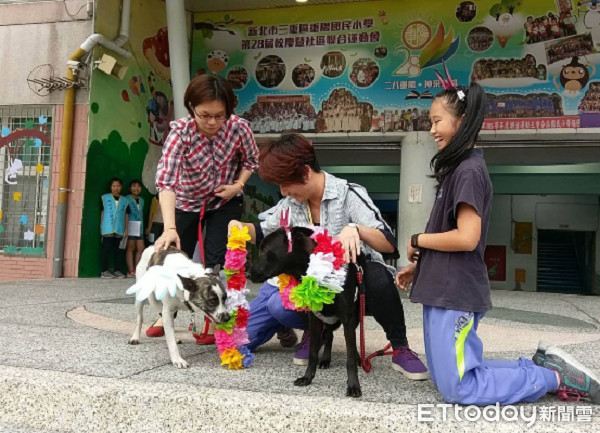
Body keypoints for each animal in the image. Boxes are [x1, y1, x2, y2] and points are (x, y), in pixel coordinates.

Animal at [248, 224, 366, 396]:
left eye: (265, 250)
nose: (247, 273)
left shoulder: (347, 317)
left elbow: (349, 357)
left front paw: (353, 385)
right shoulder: (315, 317)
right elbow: (312, 352)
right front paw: (307, 378)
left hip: (356, 315)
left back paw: (357, 358)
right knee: (329, 335)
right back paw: (325, 359)